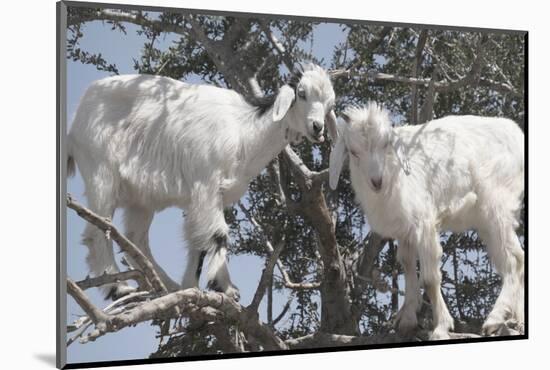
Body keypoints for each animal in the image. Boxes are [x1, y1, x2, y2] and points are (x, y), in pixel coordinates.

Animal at [67, 63, 338, 300]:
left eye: (330, 103)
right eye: (301, 93)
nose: (317, 128)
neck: (244, 132)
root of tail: (75, 119)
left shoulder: (207, 198)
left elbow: (198, 240)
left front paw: (191, 286)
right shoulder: (205, 185)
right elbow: (218, 234)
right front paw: (225, 287)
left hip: (141, 199)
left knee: (135, 240)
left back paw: (168, 286)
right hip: (100, 172)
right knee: (98, 230)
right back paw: (119, 288)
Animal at [330, 102, 528, 340]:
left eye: (386, 143)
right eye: (353, 151)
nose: (377, 181)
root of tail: (517, 135)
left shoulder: (423, 222)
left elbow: (430, 279)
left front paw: (441, 327)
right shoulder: (404, 230)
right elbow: (407, 265)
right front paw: (407, 319)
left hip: (497, 204)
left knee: (513, 260)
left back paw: (495, 318)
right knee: (517, 258)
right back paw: (516, 320)